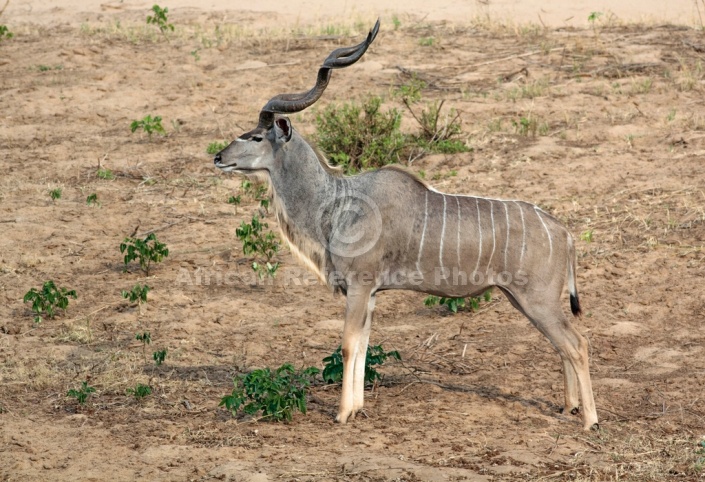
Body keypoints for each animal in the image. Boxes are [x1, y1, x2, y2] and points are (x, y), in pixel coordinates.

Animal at [214, 19, 600, 430]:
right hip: (522, 298)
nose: (218, 157)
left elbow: (348, 345)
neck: (337, 201)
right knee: (563, 344)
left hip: (536, 299)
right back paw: (568, 407)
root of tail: (564, 233)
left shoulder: (359, 285)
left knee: (577, 343)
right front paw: (358, 407)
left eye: (255, 136)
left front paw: (342, 413)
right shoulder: (370, 293)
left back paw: (590, 420)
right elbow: (363, 345)